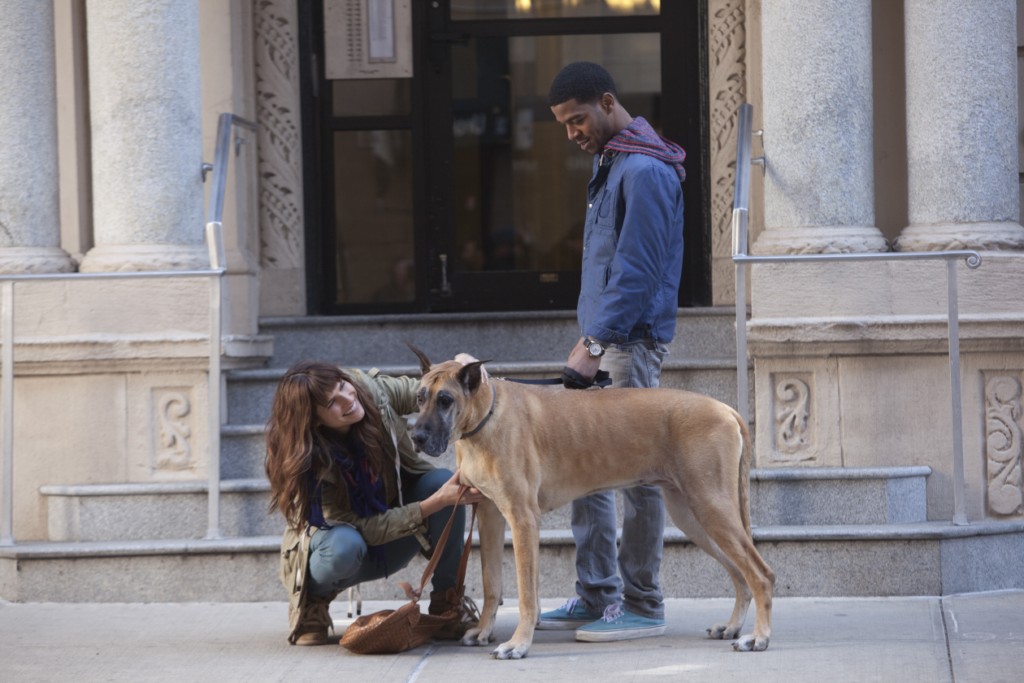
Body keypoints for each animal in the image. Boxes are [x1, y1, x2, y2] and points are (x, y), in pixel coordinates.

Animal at [405, 350, 770, 659]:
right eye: (420, 397)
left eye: (446, 400)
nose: (416, 437)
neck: (486, 417)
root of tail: (726, 410)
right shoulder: (490, 515)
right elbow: (492, 582)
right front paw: (483, 630)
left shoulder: (522, 519)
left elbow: (525, 593)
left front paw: (519, 643)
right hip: (692, 515)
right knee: (740, 573)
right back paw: (733, 626)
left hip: (711, 506)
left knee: (760, 573)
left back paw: (758, 636)